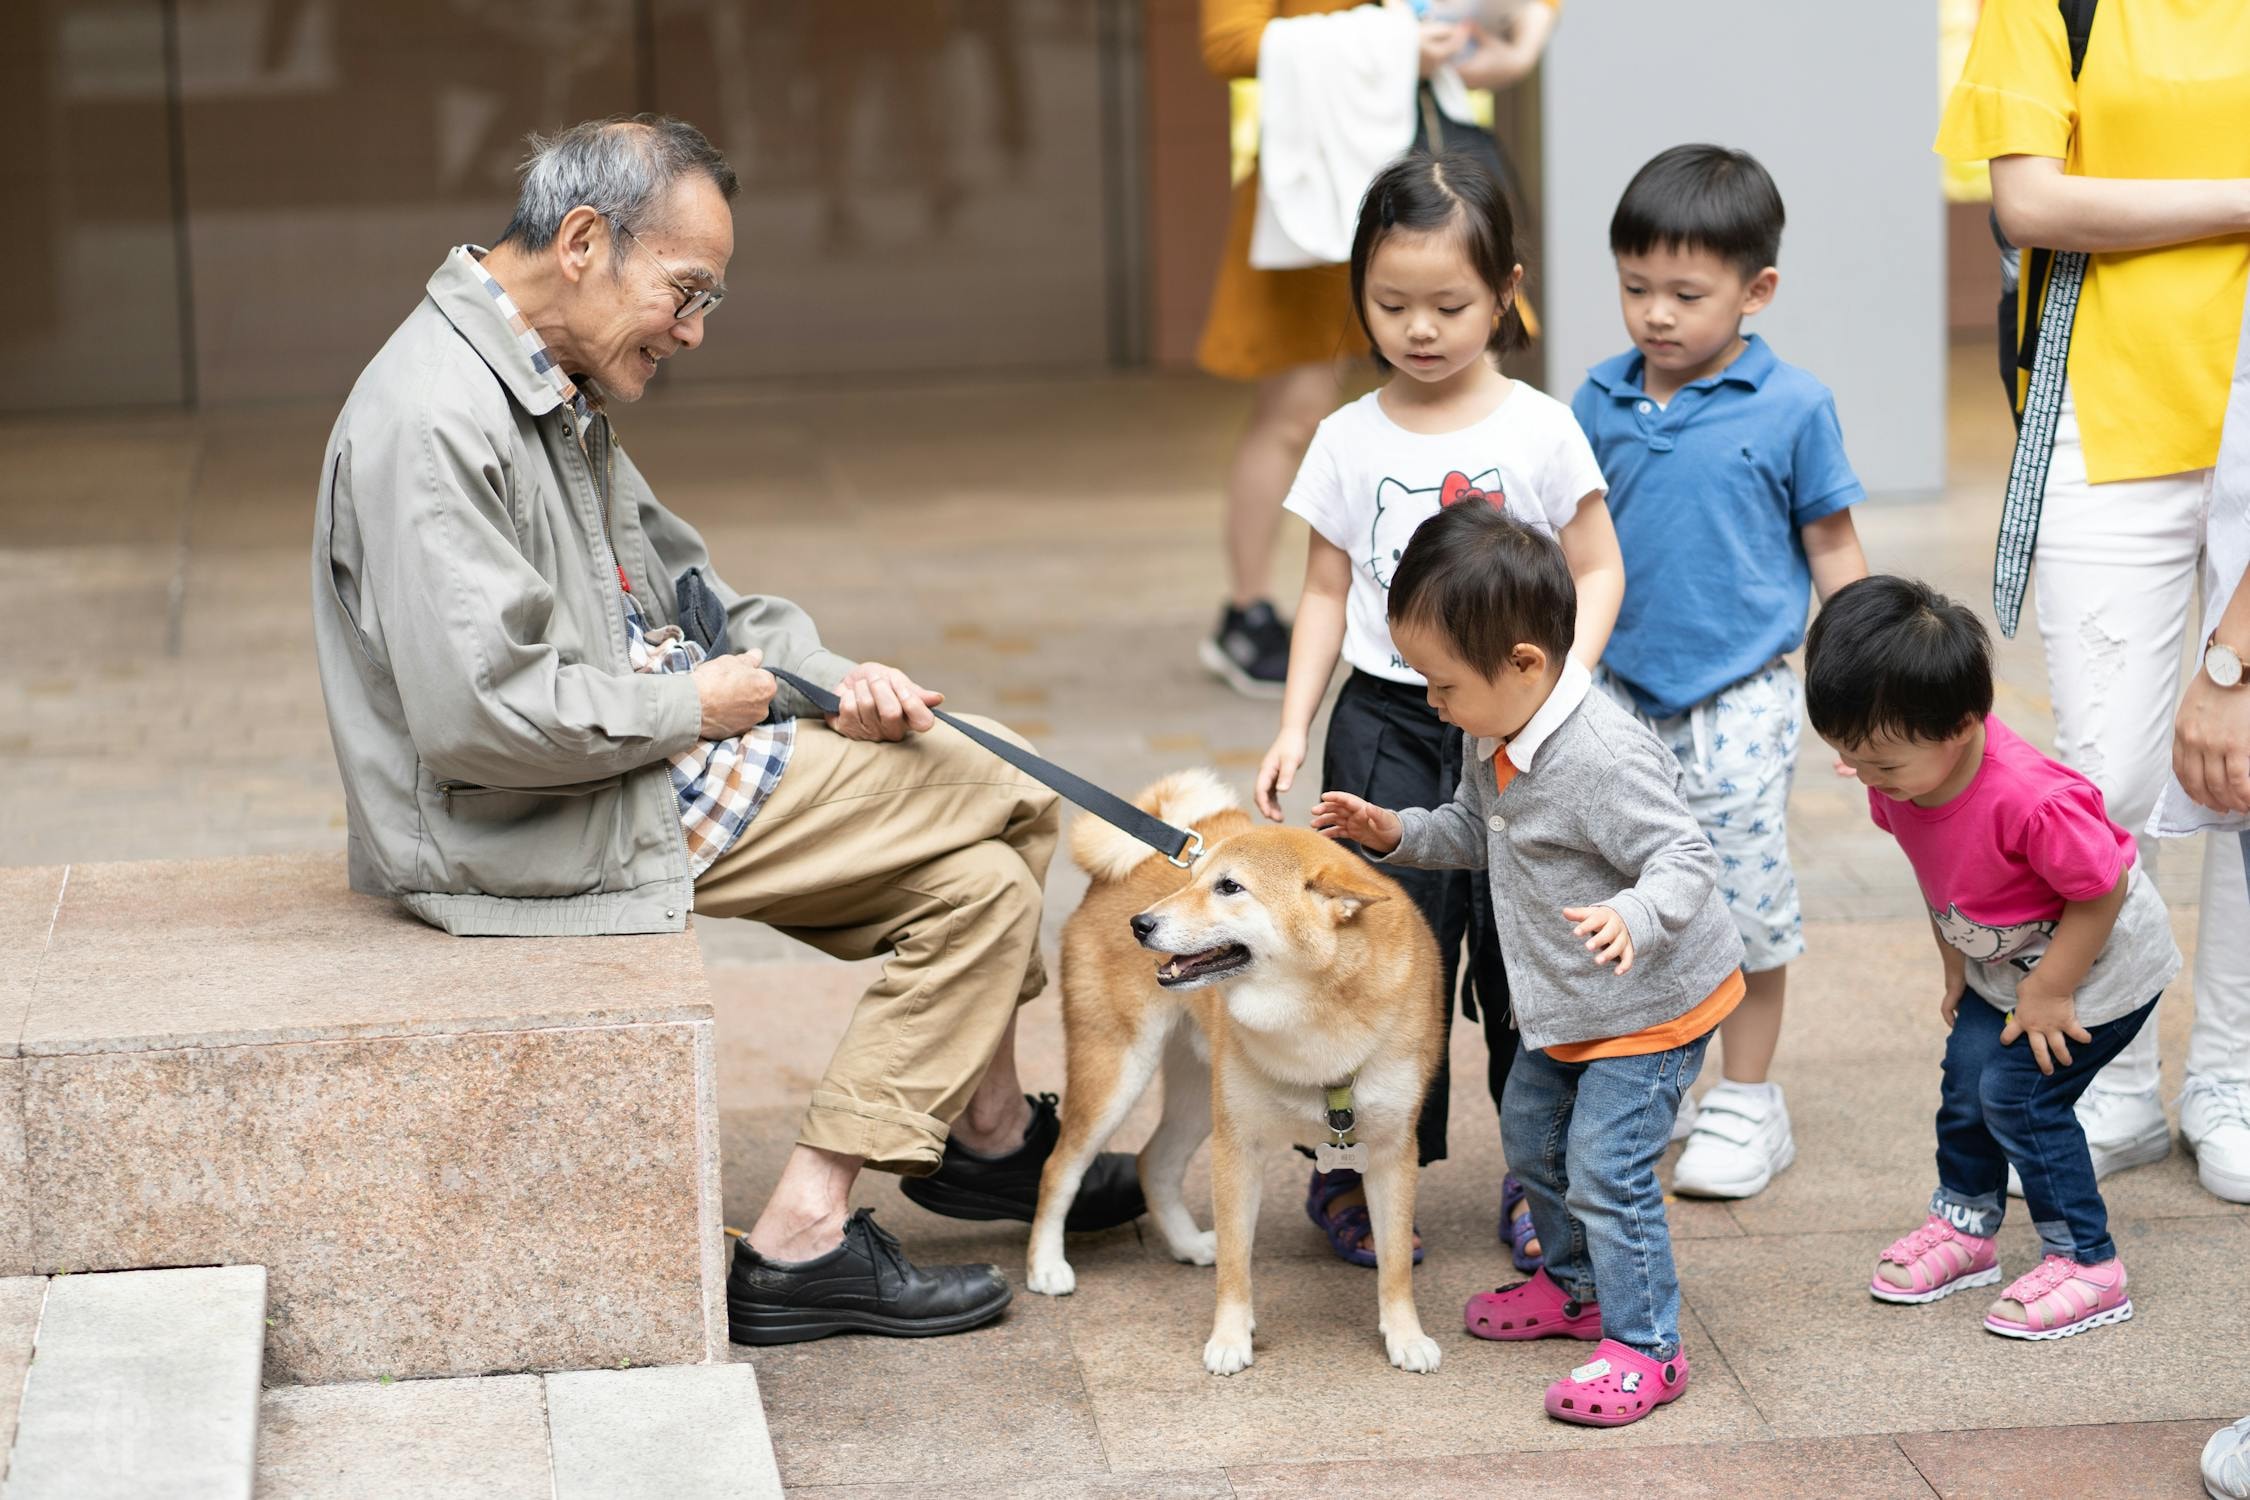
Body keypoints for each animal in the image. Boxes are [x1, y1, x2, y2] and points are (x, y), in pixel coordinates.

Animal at [1030, 773, 1449, 1376]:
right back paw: (1046, 1264)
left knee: (1153, 1160)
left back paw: (1185, 1244)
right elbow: (1236, 1262)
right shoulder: (1238, 1145)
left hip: (1194, 1091)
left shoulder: (1393, 1150)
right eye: (1196, 881)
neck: (1315, 1017)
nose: (1141, 924)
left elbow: (1394, 1265)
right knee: (1059, 1168)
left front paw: (1405, 1335)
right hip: (1116, 1071)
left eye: (1230, 887)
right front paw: (1230, 1338)